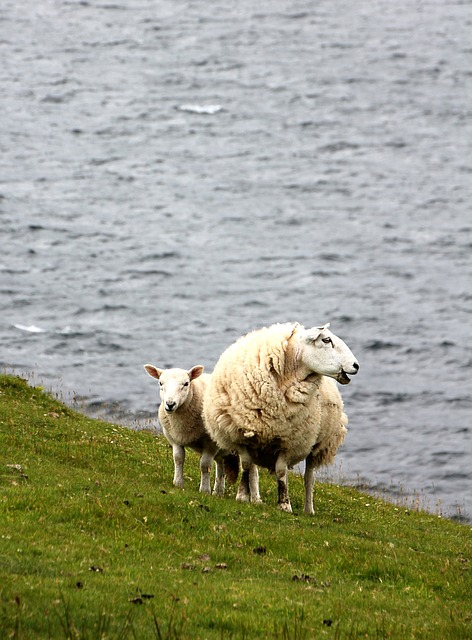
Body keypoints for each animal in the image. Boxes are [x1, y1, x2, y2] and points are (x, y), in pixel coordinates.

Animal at [143, 364, 240, 496]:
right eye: (160, 383)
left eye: (186, 383)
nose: (170, 404)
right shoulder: (175, 439)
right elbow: (178, 459)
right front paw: (178, 483)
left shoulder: (211, 444)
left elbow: (205, 465)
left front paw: (204, 490)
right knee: (221, 465)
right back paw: (218, 493)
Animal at [201, 322, 360, 512]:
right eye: (326, 340)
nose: (356, 365)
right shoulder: (241, 435)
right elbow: (246, 464)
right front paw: (242, 495)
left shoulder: (288, 441)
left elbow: (281, 471)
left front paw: (284, 504)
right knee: (253, 469)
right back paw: (254, 498)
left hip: (318, 445)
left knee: (309, 478)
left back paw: (308, 509)